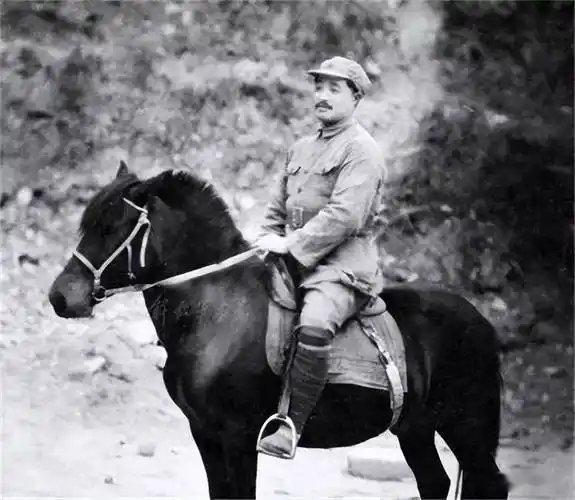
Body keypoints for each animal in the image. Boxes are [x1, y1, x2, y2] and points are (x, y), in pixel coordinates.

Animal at [49, 162, 509, 499]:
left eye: (112, 228)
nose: (60, 297)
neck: (216, 312)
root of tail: (480, 320)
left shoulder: (237, 437)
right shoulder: (204, 434)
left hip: (467, 427)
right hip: (415, 427)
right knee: (435, 482)